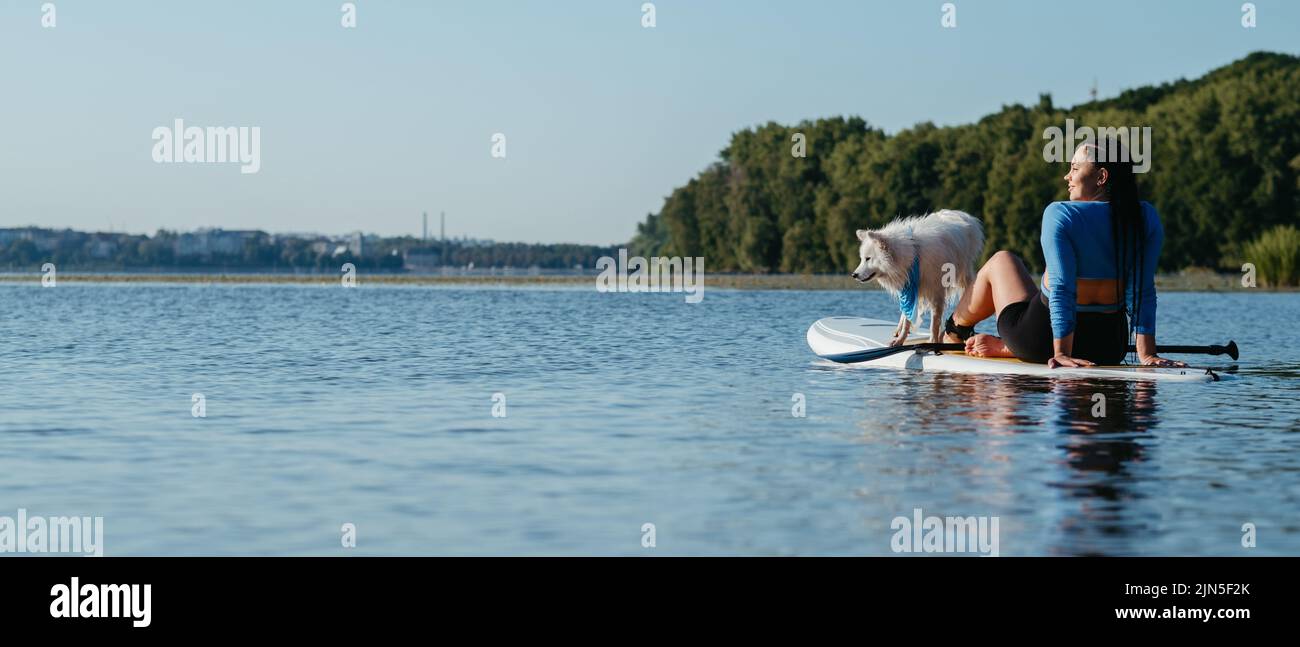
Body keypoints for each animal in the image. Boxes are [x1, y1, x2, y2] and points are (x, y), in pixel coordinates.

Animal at [847, 210, 977, 342]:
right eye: (862, 259)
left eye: (868, 258)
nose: (854, 275)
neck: (912, 255)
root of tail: (961, 214)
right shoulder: (910, 289)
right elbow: (907, 319)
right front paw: (900, 339)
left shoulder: (936, 292)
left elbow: (934, 322)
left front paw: (933, 340)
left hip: (963, 278)